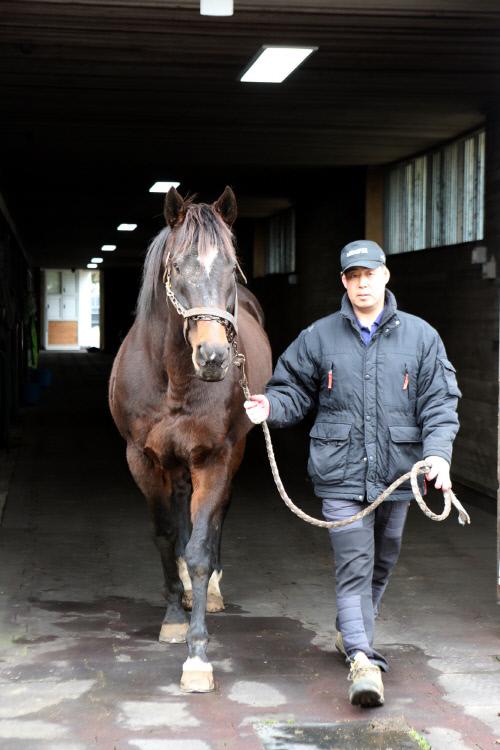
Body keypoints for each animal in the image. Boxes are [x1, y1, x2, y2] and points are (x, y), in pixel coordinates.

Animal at [109, 187, 272, 692]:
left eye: (231, 268)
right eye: (177, 267)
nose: (214, 356)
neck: (174, 379)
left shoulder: (214, 458)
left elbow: (200, 548)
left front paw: (198, 656)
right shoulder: (142, 459)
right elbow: (166, 535)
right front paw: (173, 619)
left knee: (216, 517)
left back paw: (212, 590)